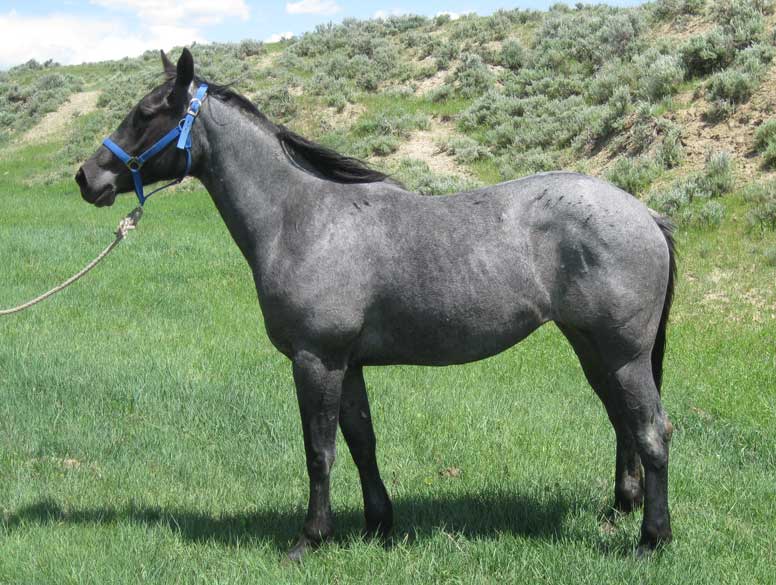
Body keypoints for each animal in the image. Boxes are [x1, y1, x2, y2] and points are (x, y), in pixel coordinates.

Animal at [76, 49, 676, 556]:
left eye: (146, 112)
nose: (88, 177)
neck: (301, 217)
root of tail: (645, 213)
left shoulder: (316, 360)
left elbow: (319, 451)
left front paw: (310, 538)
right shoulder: (349, 363)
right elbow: (361, 441)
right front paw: (378, 525)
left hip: (623, 355)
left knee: (652, 431)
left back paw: (652, 539)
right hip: (593, 349)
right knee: (622, 421)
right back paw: (623, 507)